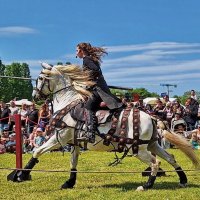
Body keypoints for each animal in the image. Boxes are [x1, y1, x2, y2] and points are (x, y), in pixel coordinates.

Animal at [8, 63, 199, 191]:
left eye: (40, 78)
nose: (35, 95)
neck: (68, 101)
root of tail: (151, 116)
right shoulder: (75, 142)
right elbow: (73, 162)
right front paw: (69, 182)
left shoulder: (59, 137)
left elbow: (37, 151)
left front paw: (21, 175)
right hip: (152, 144)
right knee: (170, 158)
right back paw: (182, 180)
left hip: (138, 149)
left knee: (155, 162)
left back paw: (146, 185)